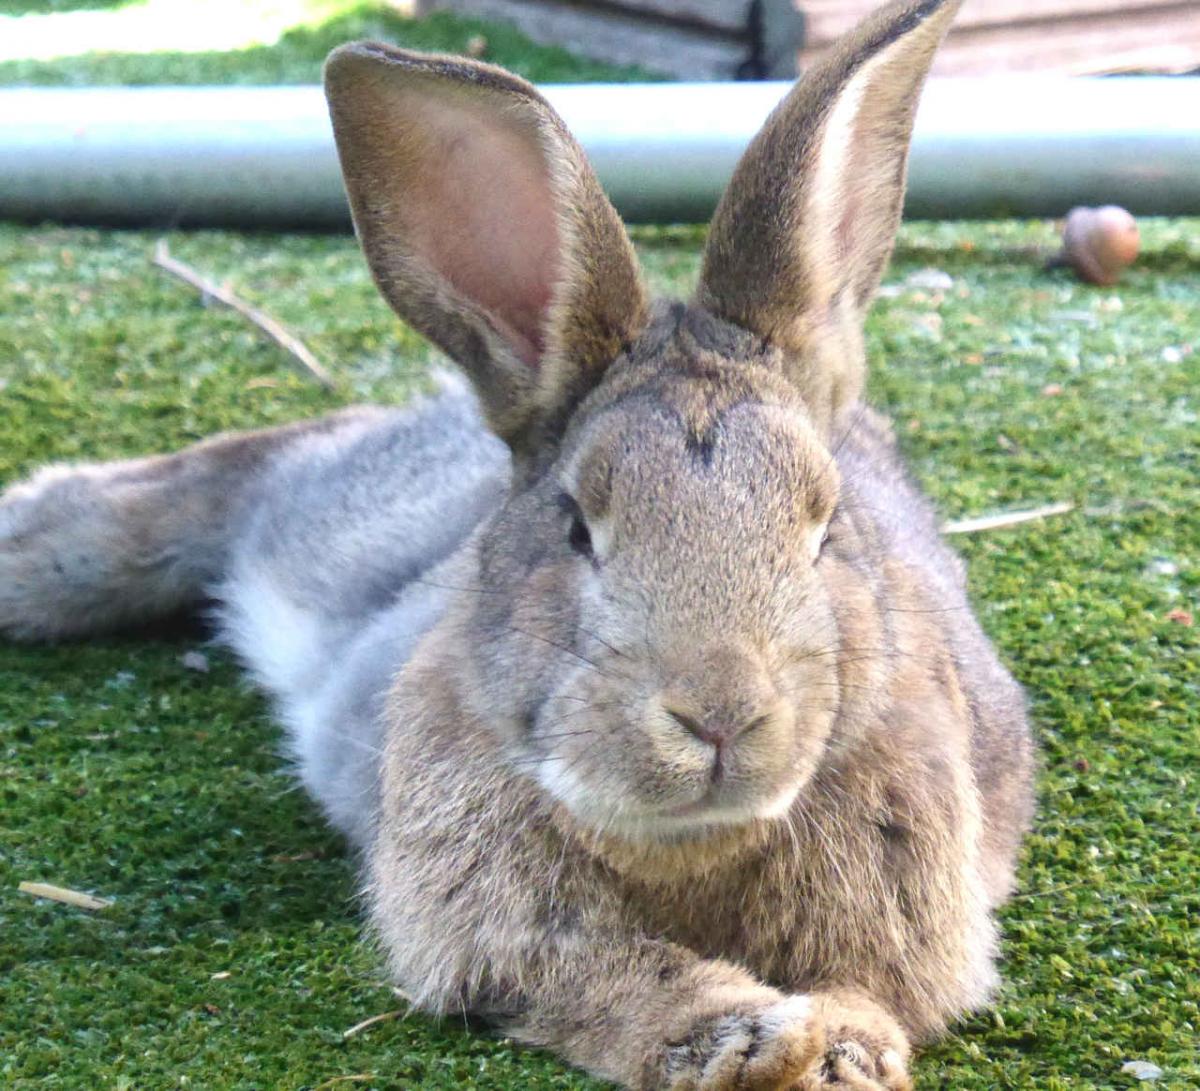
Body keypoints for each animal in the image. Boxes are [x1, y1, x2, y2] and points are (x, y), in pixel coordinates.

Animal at [0, 0, 1036, 1086]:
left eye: (825, 523)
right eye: (577, 524)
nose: (718, 715)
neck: (693, 840)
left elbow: (870, 991)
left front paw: (837, 1050)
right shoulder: (496, 924)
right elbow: (614, 980)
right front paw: (750, 1038)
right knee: (254, 472)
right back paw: (29, 547)